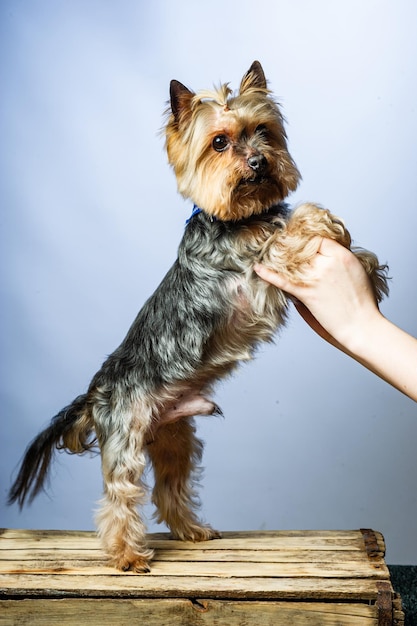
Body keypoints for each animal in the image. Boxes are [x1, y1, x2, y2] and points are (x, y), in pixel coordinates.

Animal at [8, 61, 388, 568]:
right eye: (219, 142)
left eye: (263, 132)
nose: (258, 162)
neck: (243, 218)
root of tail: (95, 391)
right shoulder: (256, 274)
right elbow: (292, 227)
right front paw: (328, 226)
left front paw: (367, 268)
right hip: (126, 436)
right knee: (120, 496)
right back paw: (127, 556)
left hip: (174, 436)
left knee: (169, 487)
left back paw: (192, 531)